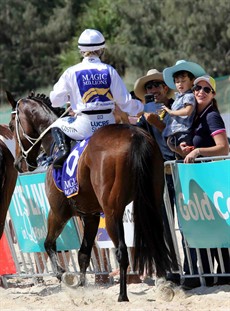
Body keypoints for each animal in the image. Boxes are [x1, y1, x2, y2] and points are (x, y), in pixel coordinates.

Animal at [7, 91, 175, 304]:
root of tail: (136, 136)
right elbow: (83, 254)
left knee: (122, 251)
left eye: (11, 126)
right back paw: (164, 286)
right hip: (151, 202)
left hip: (112, 213)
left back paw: (122, 295)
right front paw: (81, 285)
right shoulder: (91, 215)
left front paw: (66, 277)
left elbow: (49, 244)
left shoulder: (59, 212)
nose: (18, 163)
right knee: (156, 240)